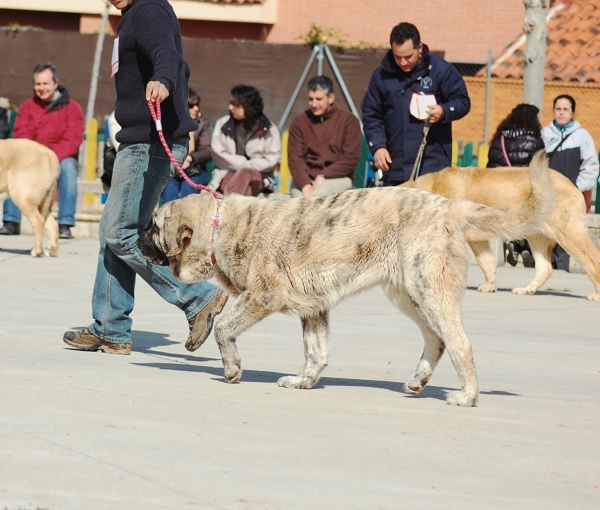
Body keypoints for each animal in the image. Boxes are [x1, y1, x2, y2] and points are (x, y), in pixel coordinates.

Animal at [137, 151, 552, 406]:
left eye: (154, 226)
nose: (135, 236)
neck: (219, 226)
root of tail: (449, 206)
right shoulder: (313, 309)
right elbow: (315, 352)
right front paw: (303, 382)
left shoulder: (263, 296)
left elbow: (224, 328)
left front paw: (232, 369)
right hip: (409, 296)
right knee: (436, 340)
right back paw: (418, 381)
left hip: (427, 291)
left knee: (459, 343)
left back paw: (467, 396)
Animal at [404, 161, 600, 300]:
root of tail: (573, 185)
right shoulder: (477, 240)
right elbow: (487, 263)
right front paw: (490, 286)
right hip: (536, 236)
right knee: (545, 268)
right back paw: (526, 290)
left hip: (569, 235)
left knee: (592, 260)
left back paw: (596, 295)